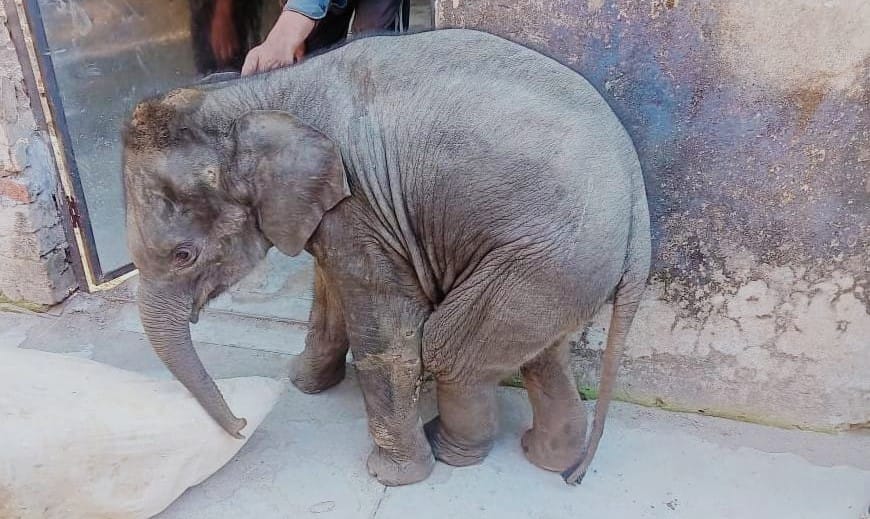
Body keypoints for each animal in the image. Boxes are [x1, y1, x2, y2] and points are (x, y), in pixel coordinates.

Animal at [122, 28, 651, 487]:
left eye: (184, 254)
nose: (240, 425)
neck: (248, 96)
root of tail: (637, 200)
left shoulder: (359, 202)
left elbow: (386, 331)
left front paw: (391, 477)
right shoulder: (338, 213)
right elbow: (329, 295)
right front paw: (303, 383)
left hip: (540, 260)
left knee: (449, 351)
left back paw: (448, 448)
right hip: (563, 272)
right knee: (543, 355)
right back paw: (549, 458)